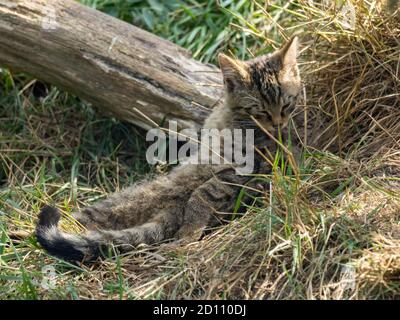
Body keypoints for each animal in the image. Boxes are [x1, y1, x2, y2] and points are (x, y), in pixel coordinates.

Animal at [36, 37, 302, 262]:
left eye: (286, 105)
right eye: (260, 111)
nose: (278, 124)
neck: (233, 118)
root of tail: (167, 211)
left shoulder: (249, 167)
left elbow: (204, 195)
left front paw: (189, 232)